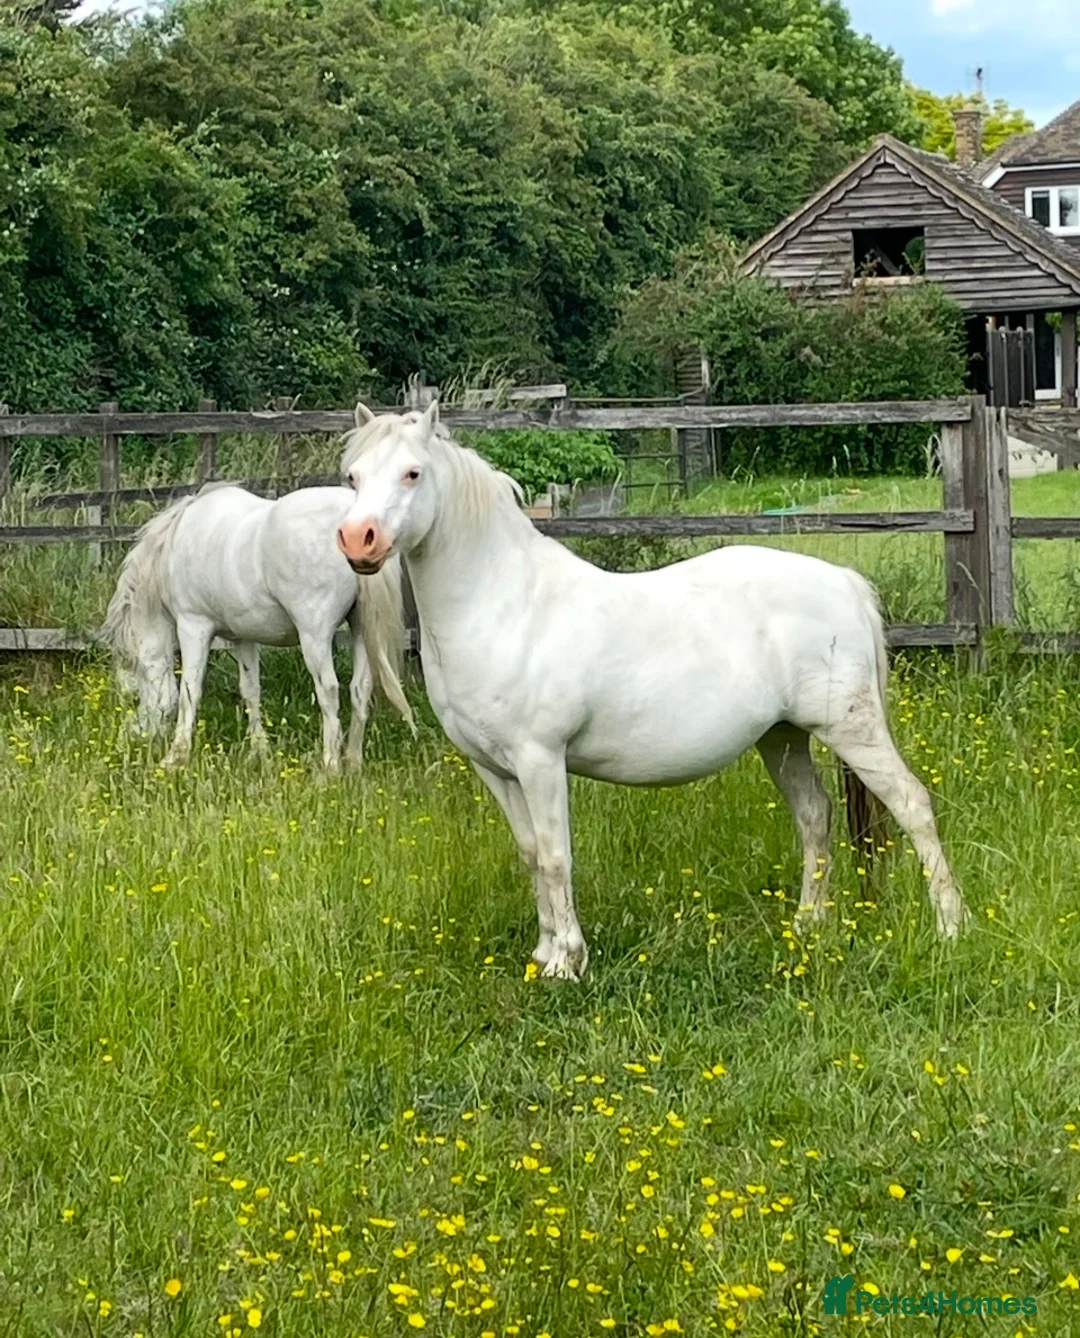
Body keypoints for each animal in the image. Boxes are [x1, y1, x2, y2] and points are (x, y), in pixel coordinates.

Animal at [104, 482, 413, 770]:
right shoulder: (243, 637)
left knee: (329, 691)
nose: (135, 734)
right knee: (360, 689)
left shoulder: (193, 626)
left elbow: (189, 692)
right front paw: (259, 748)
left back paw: (330, 766)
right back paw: (353, 762)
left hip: (315, 637)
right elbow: (250, 691)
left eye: (137, 688)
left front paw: (176, 756)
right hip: (362, 630)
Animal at [335, 401, 966, 981]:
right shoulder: (494, 767)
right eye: (354, 476)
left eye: (413, 473)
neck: (503, 602)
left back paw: (949, 925)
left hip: (851, 728)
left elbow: (557, 857)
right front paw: (543, 952)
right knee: (815, 815)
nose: (357, 539)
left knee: (913, 805)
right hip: (782, 737)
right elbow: (533, 855)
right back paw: (809, 923)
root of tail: (844, 582)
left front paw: (567, 963)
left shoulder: (540, 761)